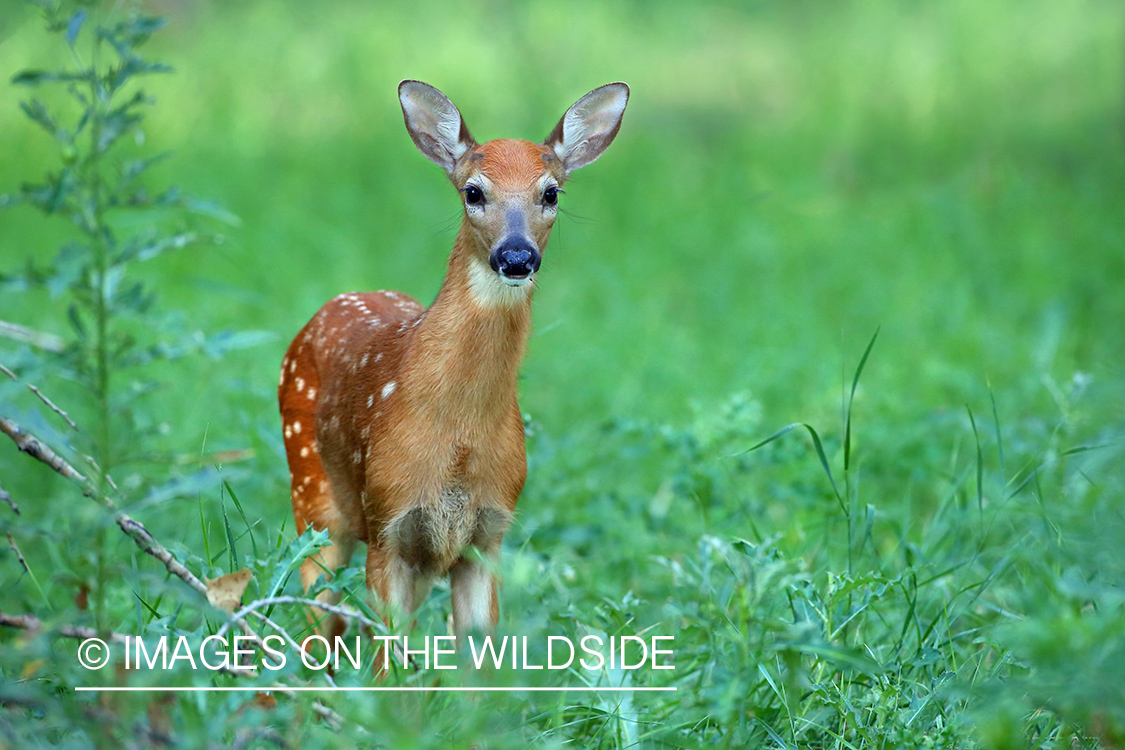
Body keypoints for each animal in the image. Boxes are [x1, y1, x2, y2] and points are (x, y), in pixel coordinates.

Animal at [277, 80, 629, 648]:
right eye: (473, 192)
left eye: (551, 192)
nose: (516, 256)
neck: (458, 434)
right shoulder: (388, 523)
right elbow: (392, 665)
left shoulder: (489, 532)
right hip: (314, 502)